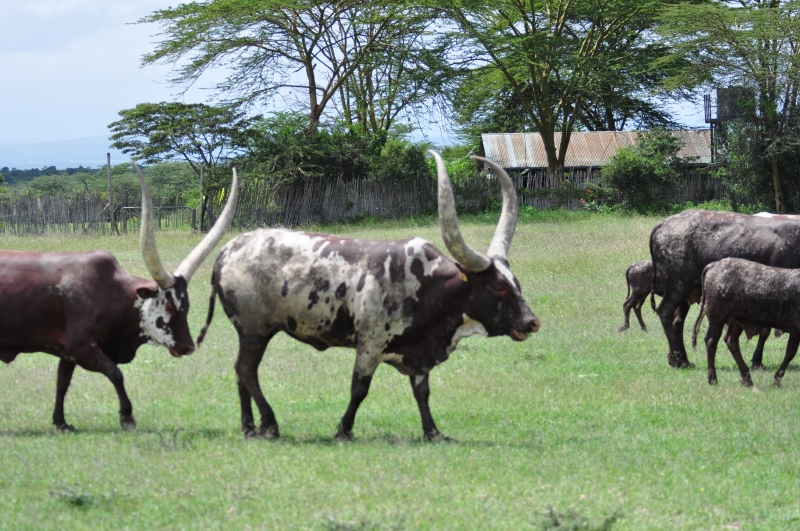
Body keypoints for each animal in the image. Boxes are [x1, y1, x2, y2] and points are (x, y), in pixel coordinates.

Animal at [0, 164, 238, 432]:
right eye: (169, 306)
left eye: (186, 306)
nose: (187, 347)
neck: (111, 292)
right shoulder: (81, 346)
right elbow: (115, 373)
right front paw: (127, 417)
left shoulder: (67, 351)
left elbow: (62, 383)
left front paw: (61, 422)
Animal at [195, 151, 540, 441]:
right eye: (498, 287)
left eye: (516, 283)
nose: (532, 322)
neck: (429, 286)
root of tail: (229, 249)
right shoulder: (370, 344)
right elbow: (359, 389)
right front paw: (344, 430)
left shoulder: (419, 357)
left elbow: (422, 392)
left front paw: (433, 432)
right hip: (255, 328)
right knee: (246, 371)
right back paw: (268, 425)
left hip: (250, 332)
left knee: (241, 372)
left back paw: (249, 428)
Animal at [649, 209, 800, 369]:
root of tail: (665, 222)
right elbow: (765, 330)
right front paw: (757, 361)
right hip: (677, 287)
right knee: (665, 312)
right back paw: (678, 359)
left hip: (686, 293)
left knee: (677, 322)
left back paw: (681, 359)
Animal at [692, 257, 800, 387]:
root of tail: (714, 265)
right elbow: (791, 353)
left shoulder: (795, 332)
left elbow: (790, 352)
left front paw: (777, 378)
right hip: (717, 319)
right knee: (711, 342)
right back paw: (713, 378)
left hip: (736, 322)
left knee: (731, 341)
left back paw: (746, 378)